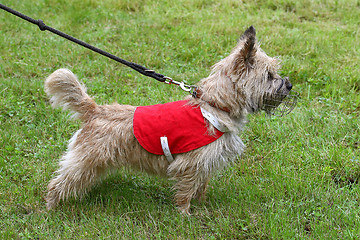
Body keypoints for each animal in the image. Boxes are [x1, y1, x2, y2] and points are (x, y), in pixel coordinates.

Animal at [45, 25, 294, 214]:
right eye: (269, 76)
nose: (289, 84)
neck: (214, 105)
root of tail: (95, 111)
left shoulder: (205, 162)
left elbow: (201, 185)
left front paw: (202, 205)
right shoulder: (191, 164)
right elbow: (186, 189)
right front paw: (185, 213)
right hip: (84, 160)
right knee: (59, 183)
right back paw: (50, 208)